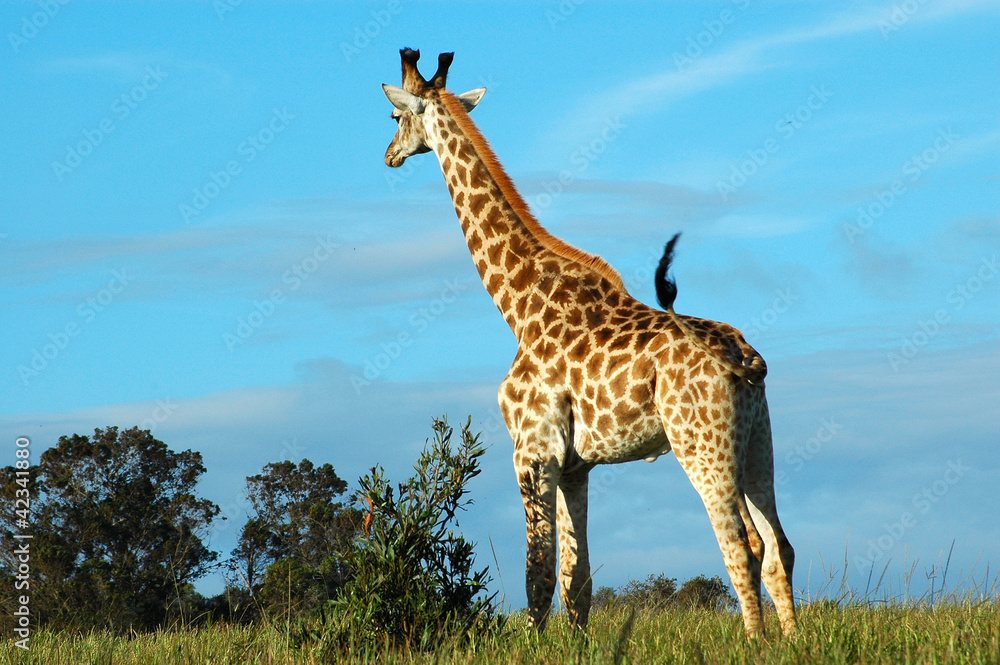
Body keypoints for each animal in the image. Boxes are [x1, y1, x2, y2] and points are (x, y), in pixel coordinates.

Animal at [381, 49, 796, 637]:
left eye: (395, 116)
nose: (389, 155)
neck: (519, 307)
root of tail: (745, 357)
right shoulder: (576, 464)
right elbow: (577, 582)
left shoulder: (531, 451)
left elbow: (537, 576)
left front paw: (533, 645)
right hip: (758, 441)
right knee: (780, 544)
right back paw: (791, 641)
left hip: (700, 444)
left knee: (742, 544)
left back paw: (754, 643)